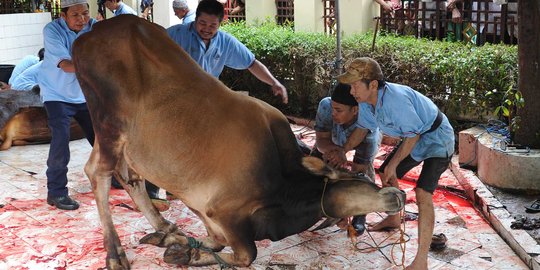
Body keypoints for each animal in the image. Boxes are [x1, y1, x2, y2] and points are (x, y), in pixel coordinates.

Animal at [71, 15, 404, 268]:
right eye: (362, 180)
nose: (397, 194)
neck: (284, 194)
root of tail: (88, 36)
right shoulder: (225, 212)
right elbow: (247, 254)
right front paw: (187, 253)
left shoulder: (206, 210)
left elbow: (216, 243)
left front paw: (186, 244)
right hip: (108, 122)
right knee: (98, 173)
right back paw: (115, 255)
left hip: (127, 142)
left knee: (131, 177)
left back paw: (166, 228)